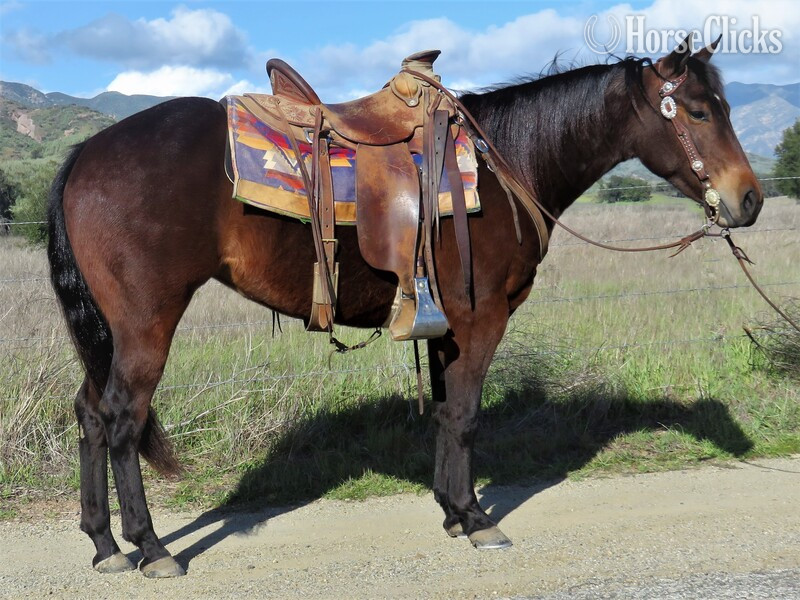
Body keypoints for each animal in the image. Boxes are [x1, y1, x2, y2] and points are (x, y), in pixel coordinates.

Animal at [48, 38, 761, 577]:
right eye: (699, 112)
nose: (749, 200)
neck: (506, 165)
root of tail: (88, 151)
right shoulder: (482, 319)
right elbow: (467, 416)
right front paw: (476, 519)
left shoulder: (447, 328)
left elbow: (445, 412)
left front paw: (450, 509)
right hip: (146, 322)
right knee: (121, 417)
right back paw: (150, 548)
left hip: (110, 331)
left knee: (89, 412)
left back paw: (104, 544)